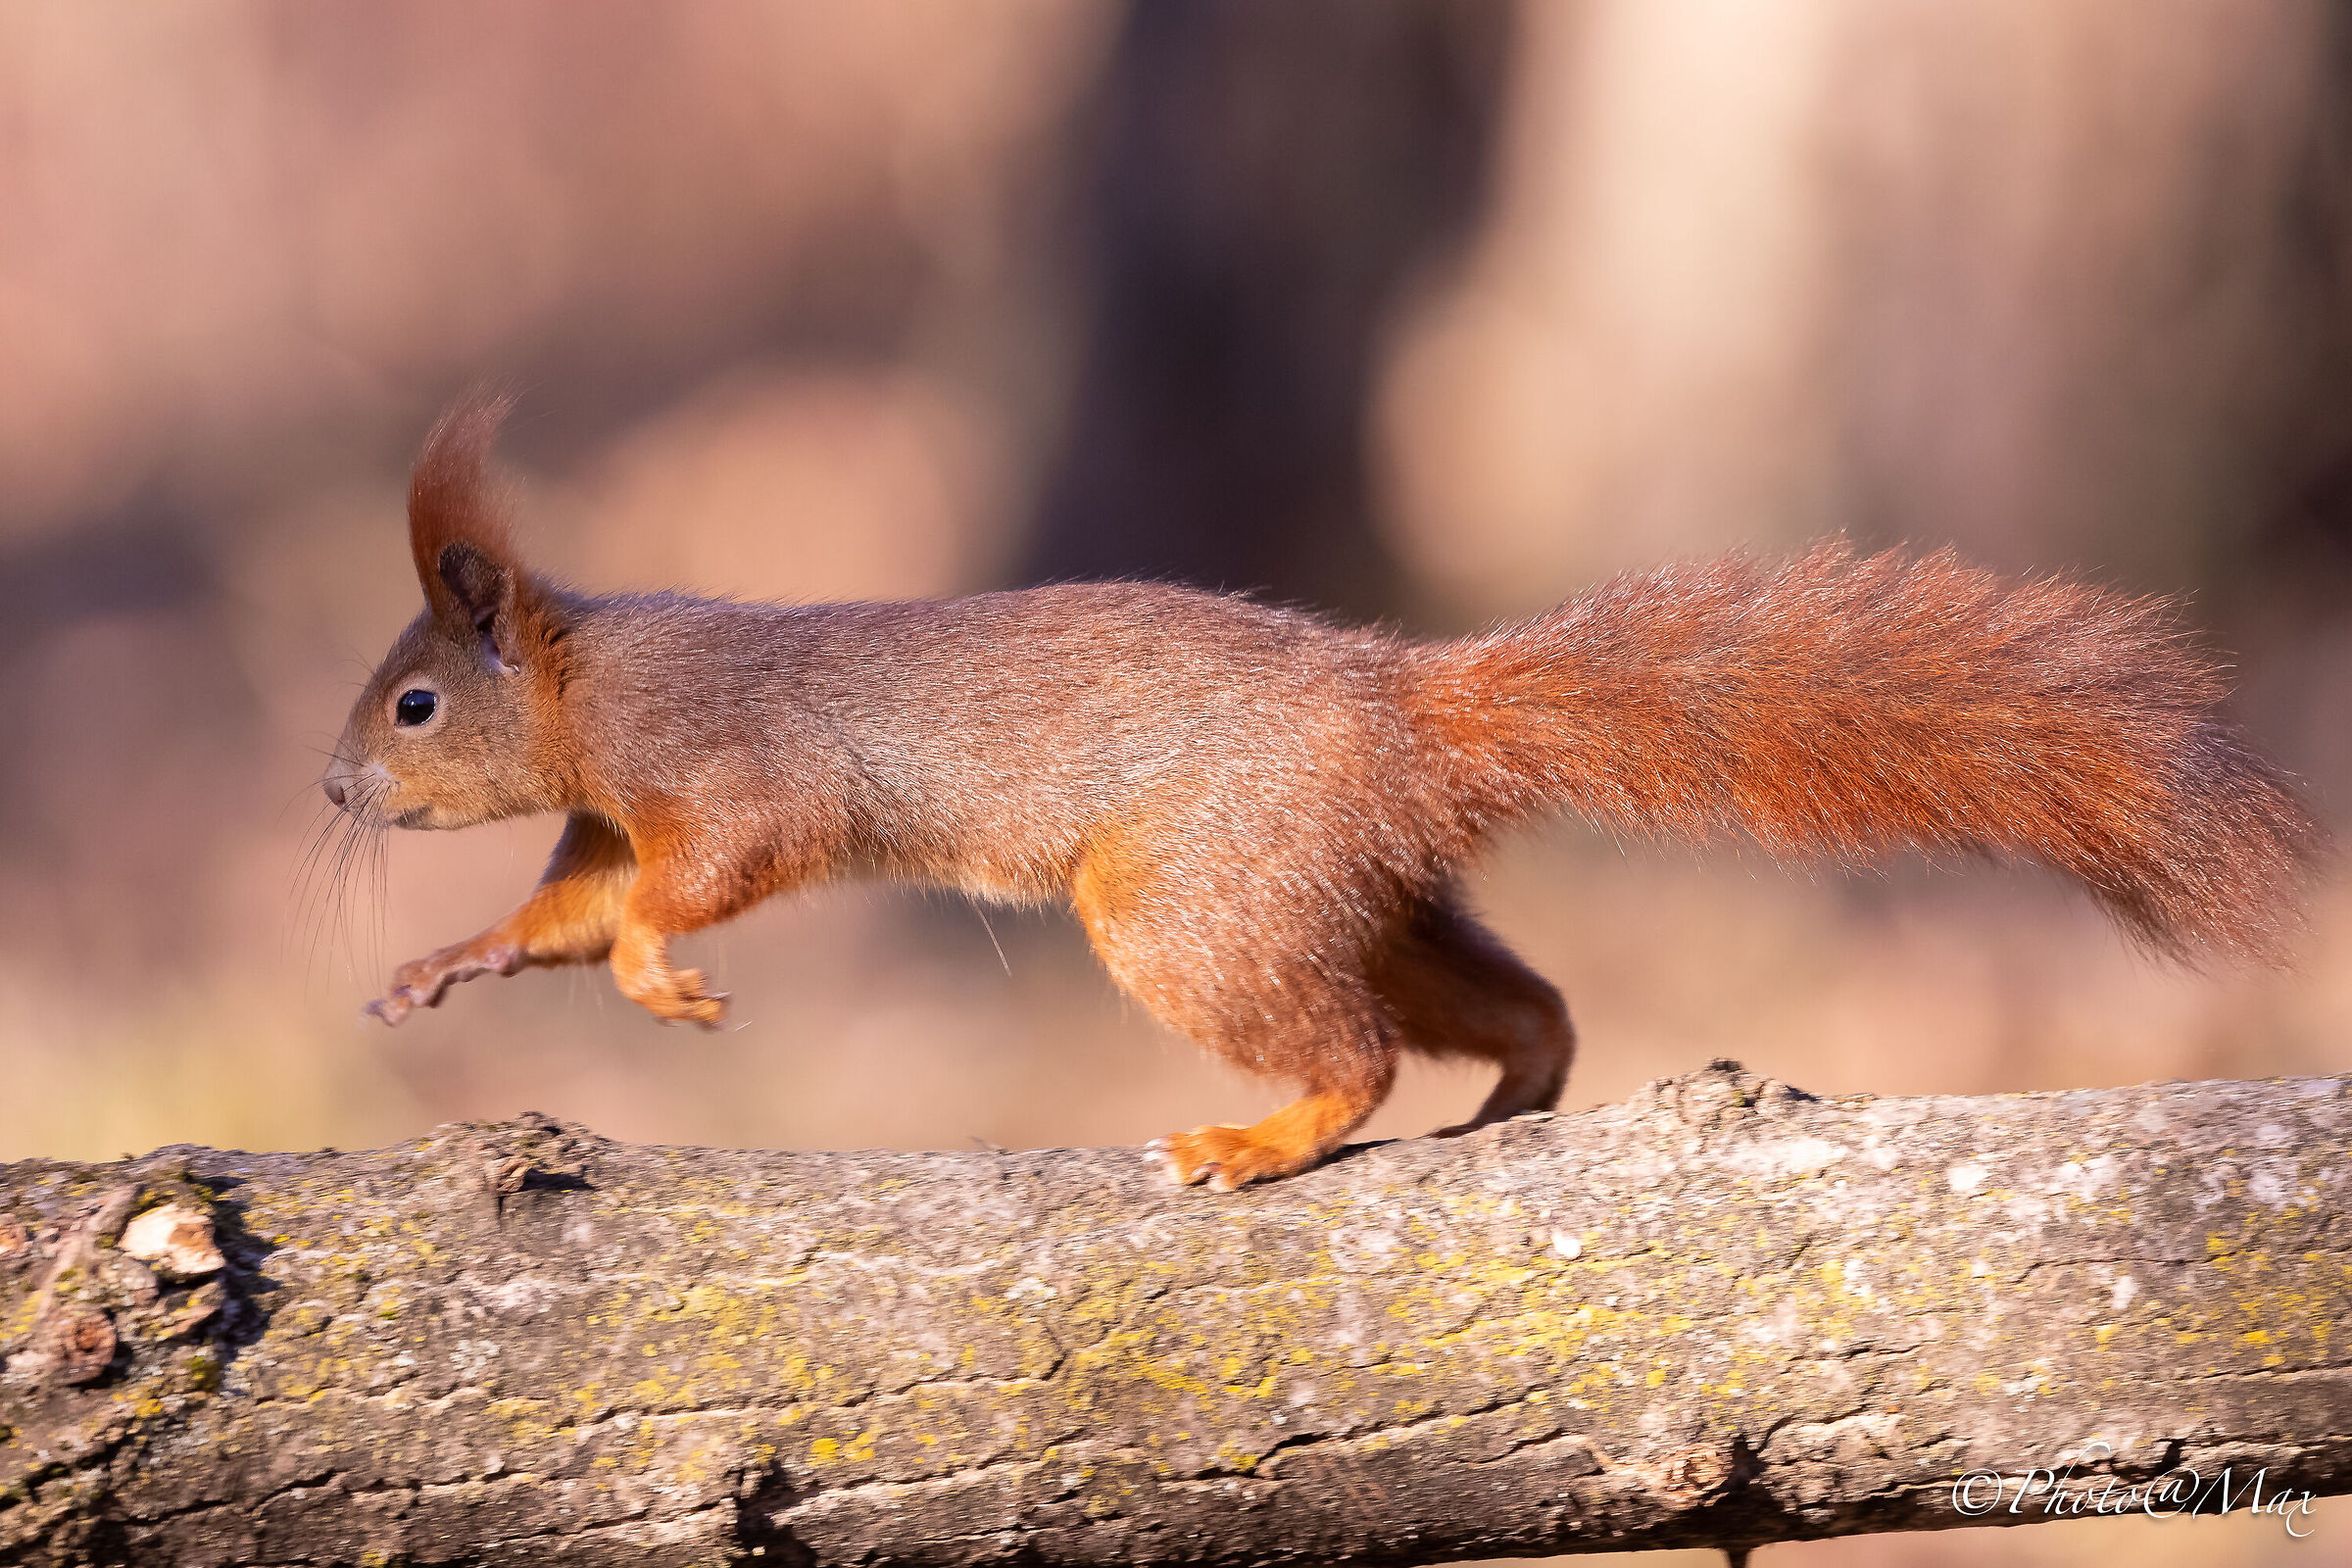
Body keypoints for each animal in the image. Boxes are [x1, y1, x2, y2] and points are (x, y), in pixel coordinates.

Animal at [324, 396, 2324, 1189]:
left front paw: (664, 978)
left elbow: (703, 875)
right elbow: (567, 904)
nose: (332, 786)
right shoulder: (605, 821)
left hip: (1191, 896)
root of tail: (1404, 711)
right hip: (1350, 888)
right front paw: (445, 967)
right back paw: (1509, 1096)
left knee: (1350, 1052)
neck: (587, 683)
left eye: (414, 701)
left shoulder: (718, 770)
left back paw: (1267, 1139)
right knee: (1511, 999)